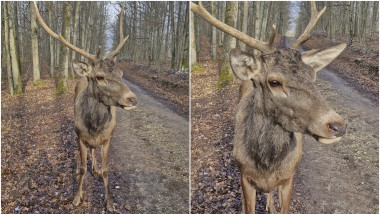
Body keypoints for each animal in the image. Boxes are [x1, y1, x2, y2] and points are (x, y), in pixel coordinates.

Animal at [32, 2, 137, 211]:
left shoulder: (108, 138)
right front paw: (76, 197)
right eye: (100, 77)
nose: (132, 99)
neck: (95, 127)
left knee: (94, 152)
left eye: (121, 73)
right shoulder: (80, 136)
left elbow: (106, 170)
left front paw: (109, 202)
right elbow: (81, 168)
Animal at [191, 2, 348, 214]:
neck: (266, 165)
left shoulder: (289, 178)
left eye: (313, 75)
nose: (338, 125)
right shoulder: (245, 177)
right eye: (274, 82)